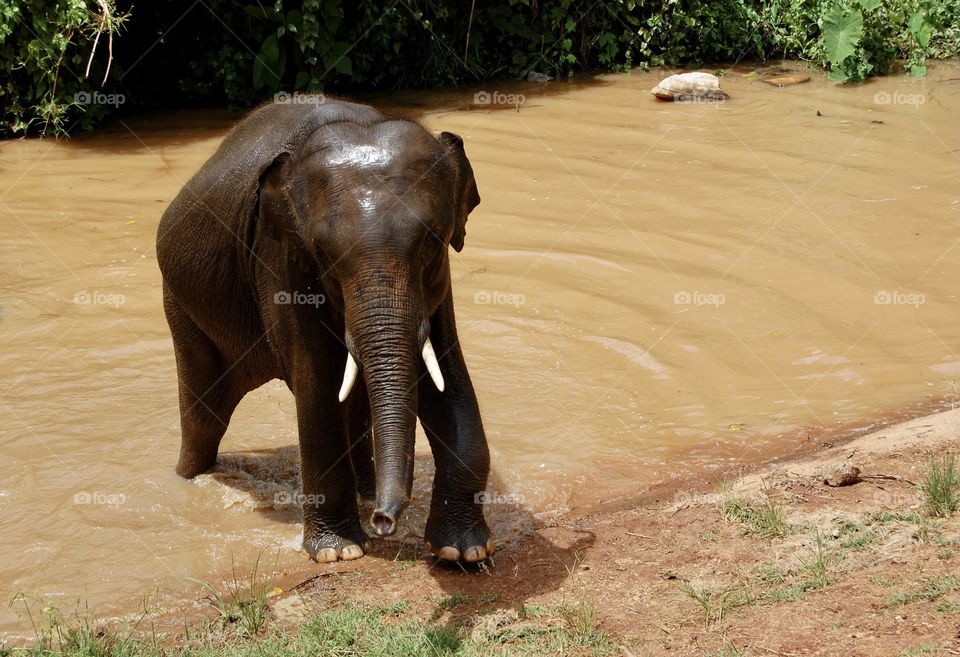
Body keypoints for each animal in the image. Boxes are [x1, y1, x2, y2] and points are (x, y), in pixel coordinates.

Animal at [156, 98, 494, 564]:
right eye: (323, 253)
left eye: (433, 240)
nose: (385, 522)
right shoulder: (279, 257)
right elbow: (317, 385)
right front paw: (339, 552)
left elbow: (447, 378)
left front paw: (464, 551)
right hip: (182, 305)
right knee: (205, 416)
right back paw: (191, 479)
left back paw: (368, 494)